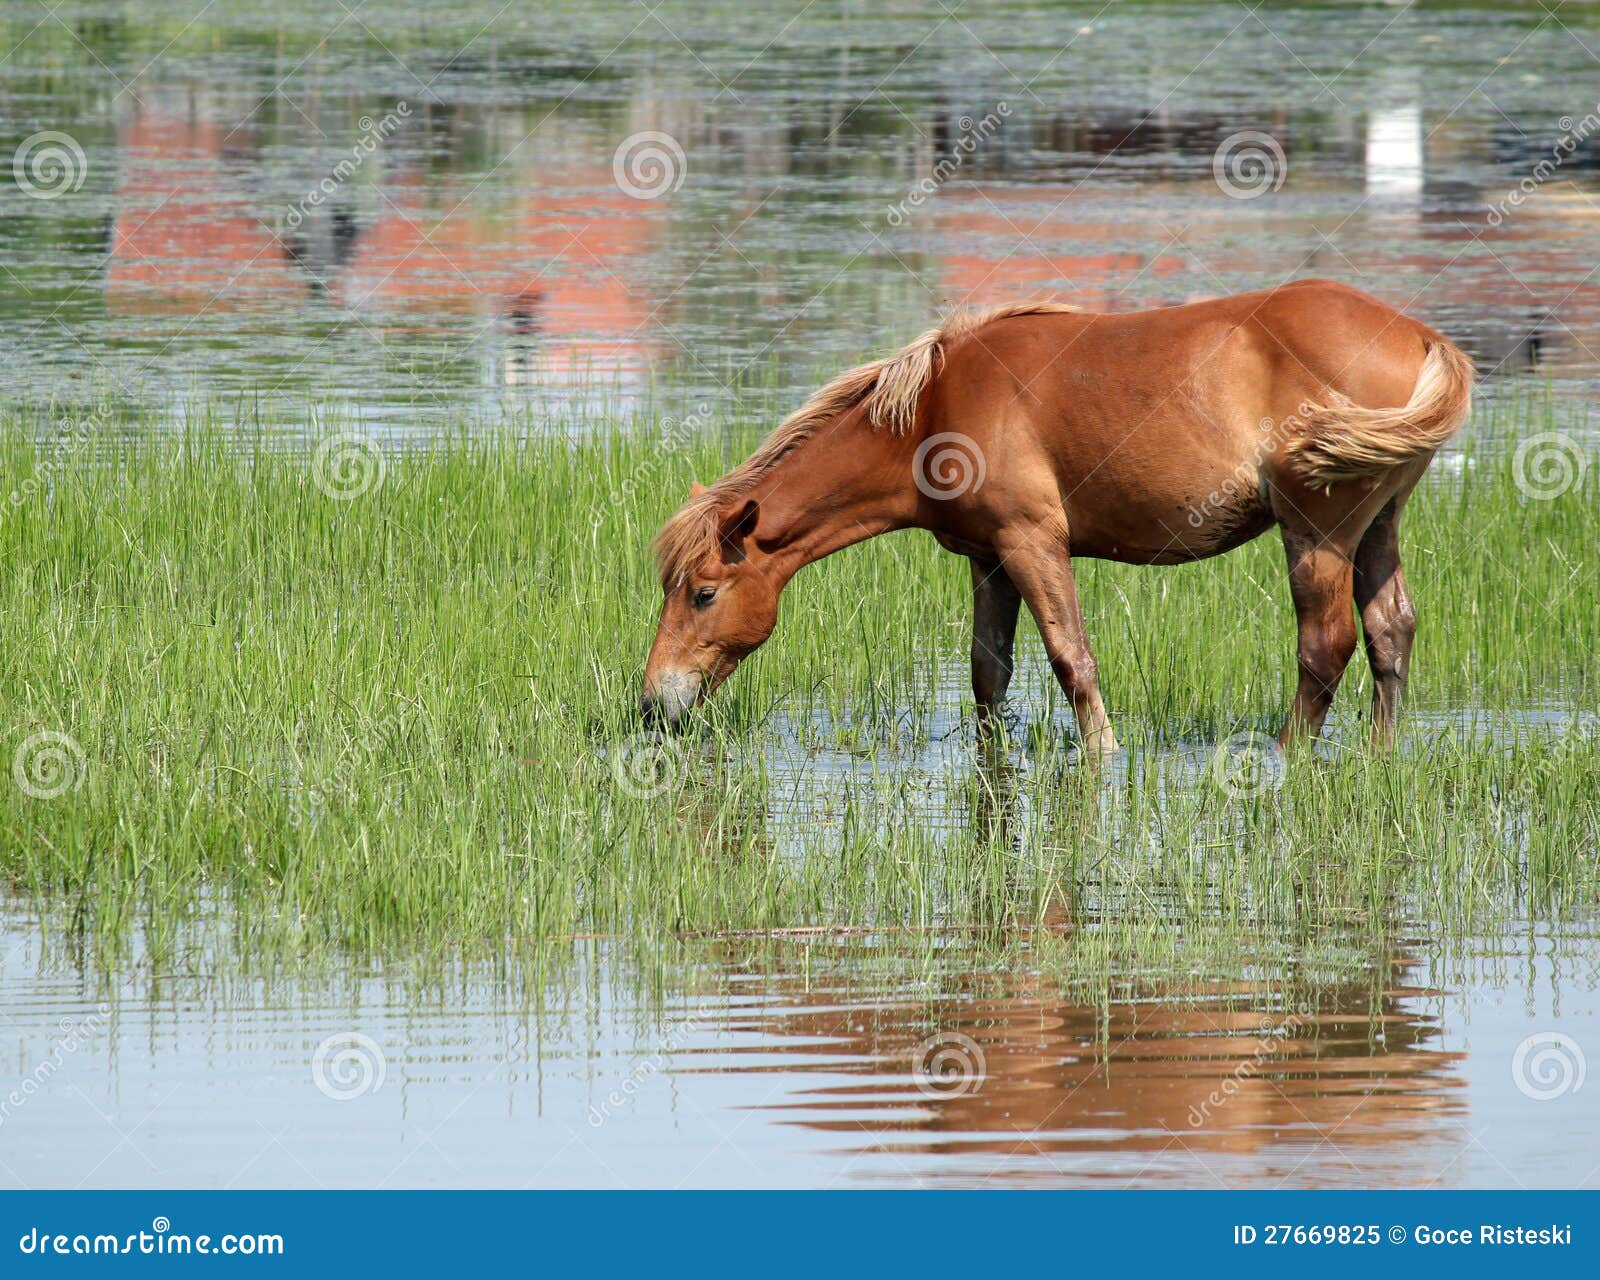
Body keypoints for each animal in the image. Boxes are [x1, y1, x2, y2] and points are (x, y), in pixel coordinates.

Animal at [640, 281, 1472, 755]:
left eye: (703, 592)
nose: (653, 705)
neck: (933, 413)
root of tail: (1420, 335)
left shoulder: (1032, 541)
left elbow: (1073, 661)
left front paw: (1102, 755)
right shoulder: (987, 558)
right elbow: (989, 672)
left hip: (1319, 530)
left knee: (1325, 647)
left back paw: (1283, 755)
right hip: (1377, 524)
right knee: (1390, 631)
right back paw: (1380, 756)